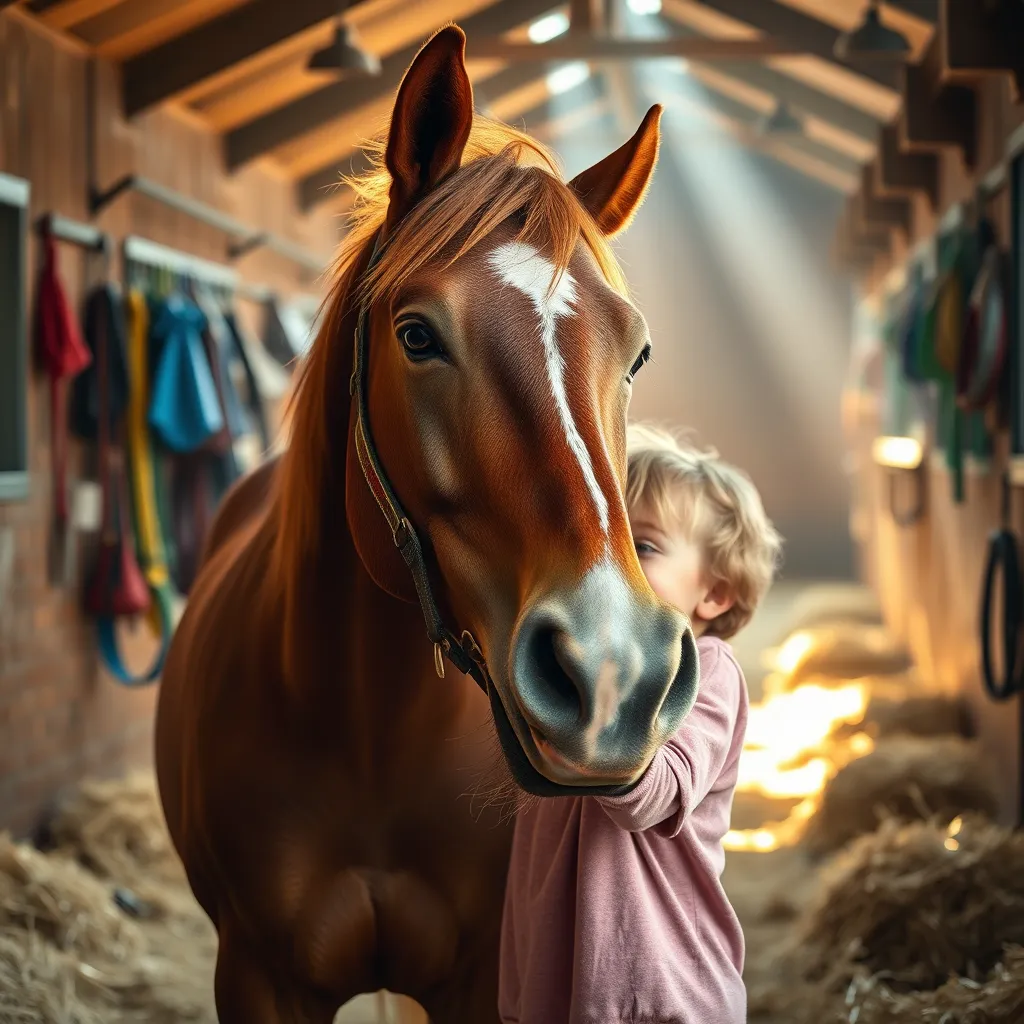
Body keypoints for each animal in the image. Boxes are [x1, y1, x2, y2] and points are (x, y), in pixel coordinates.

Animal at [154, 24, 699, 1024]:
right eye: (417, 336)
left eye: (638, 352)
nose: (614, 670)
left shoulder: (479, 977)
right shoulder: (256, 977)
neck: (369, 733)